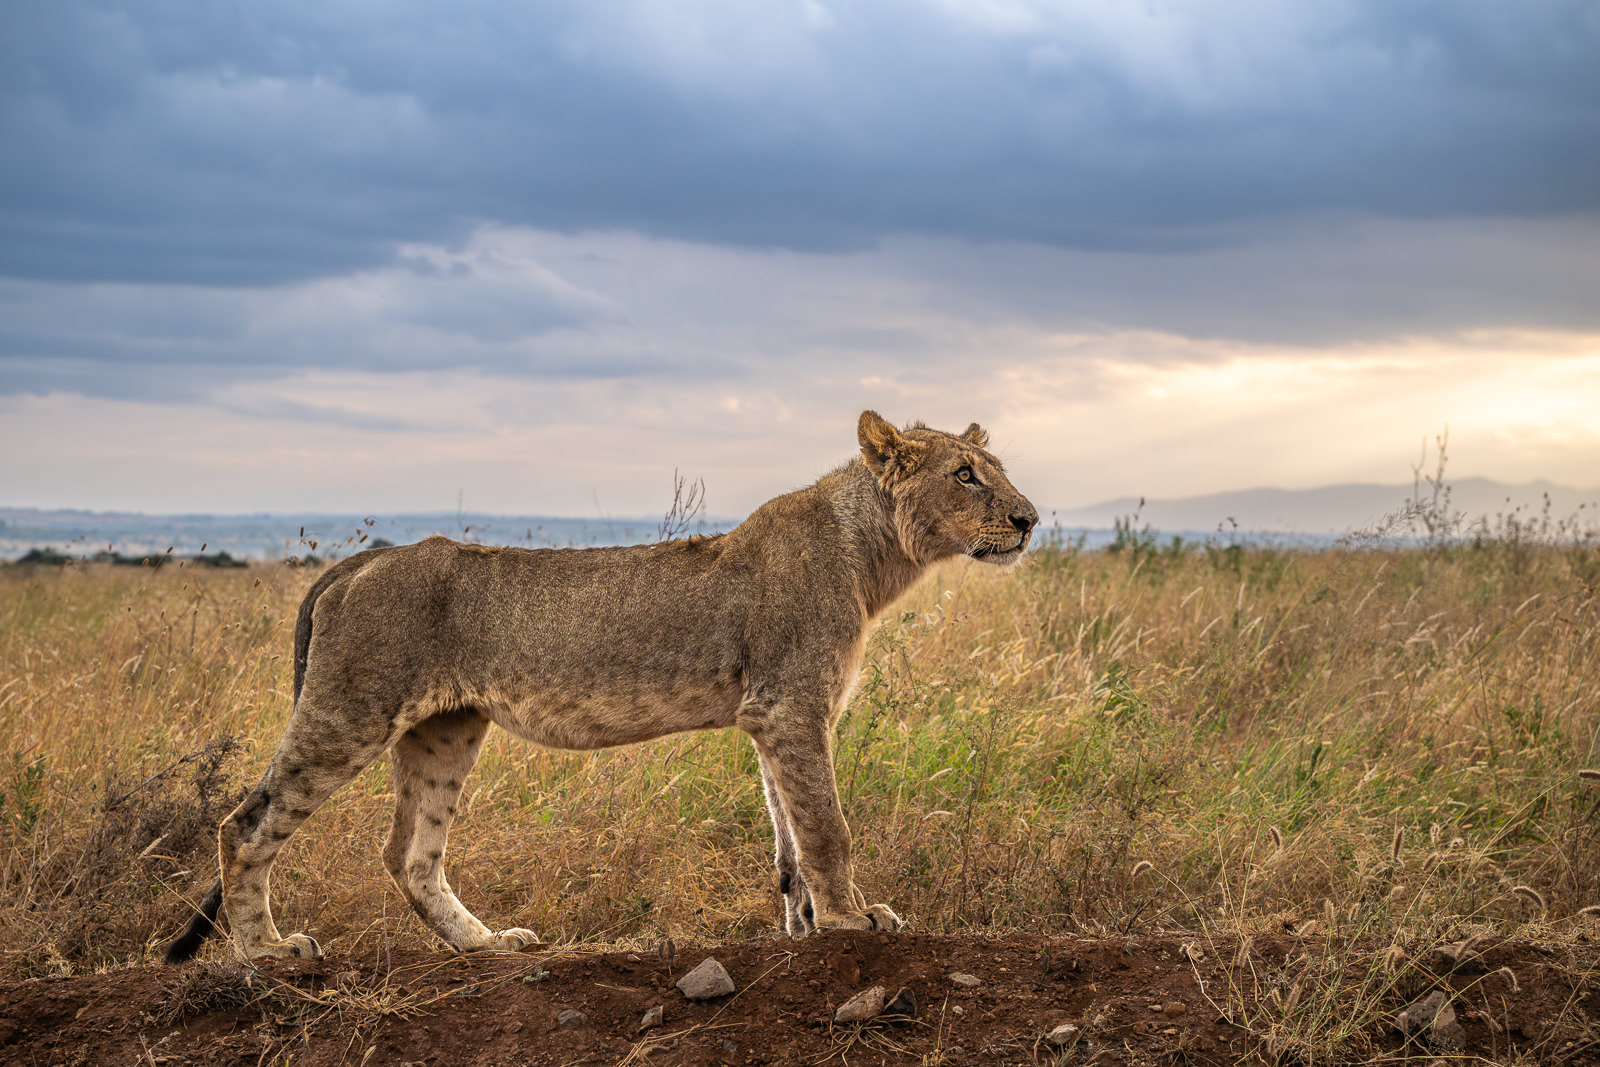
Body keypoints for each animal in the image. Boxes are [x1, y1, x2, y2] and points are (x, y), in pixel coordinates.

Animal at [165, 411, 1037, 962]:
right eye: (966, 475)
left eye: (997, 472)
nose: (1029, 519)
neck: (873, 553)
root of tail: (362, 560)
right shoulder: (792, 706)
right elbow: (825, 826)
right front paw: (854, 921)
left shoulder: (770, 716)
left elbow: (787, 836)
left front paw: (806, 925)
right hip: (350, 708)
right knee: (245, 824)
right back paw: (268, 952)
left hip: (446, 727)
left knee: (410, 853)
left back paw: (487, 945)